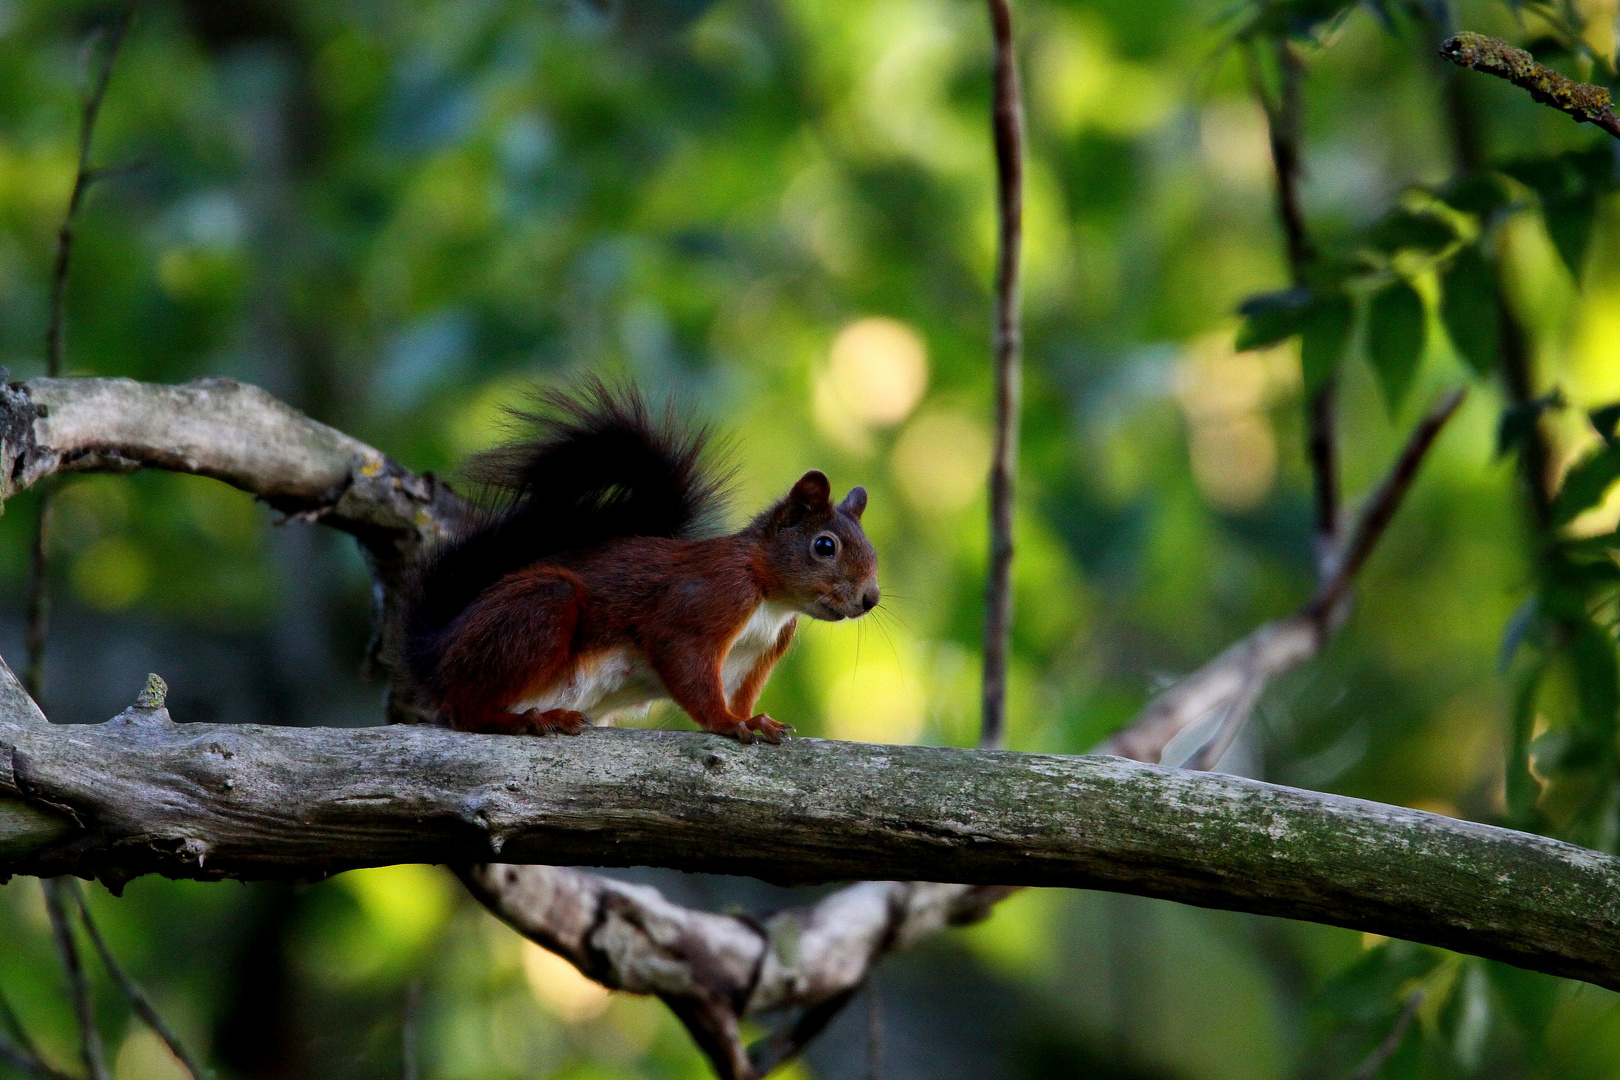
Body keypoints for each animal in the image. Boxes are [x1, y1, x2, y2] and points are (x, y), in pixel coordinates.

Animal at [405, 383, 887, 748]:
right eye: (824, 546)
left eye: (872, 552)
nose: (870, 598)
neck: (771, 598)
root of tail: (433, 650)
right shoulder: (709, 598)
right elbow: (684, 660)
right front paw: (731, 723)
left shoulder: (757, 656)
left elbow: (741, 694)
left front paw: (756, 720)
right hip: (539, 607)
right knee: (464, 707)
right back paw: (525, 718)